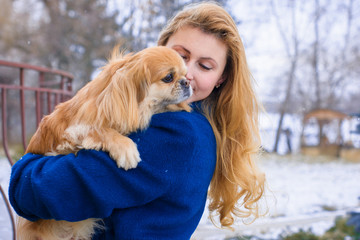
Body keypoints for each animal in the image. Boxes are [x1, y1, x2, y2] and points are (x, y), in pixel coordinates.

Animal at [16, 46, 193, 239]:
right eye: (168, 77)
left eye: (186, 74)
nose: (186, 82)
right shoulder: (72, 133)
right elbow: (102, 130)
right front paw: (126, 148)